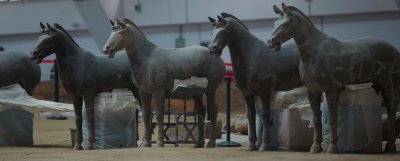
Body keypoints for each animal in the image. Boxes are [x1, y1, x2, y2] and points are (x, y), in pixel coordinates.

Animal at [29, 22, 140, 150]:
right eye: (39, 37)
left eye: (51, 38)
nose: (33, 54)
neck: (77, 63)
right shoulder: (75, 96)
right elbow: (78, 118)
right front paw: (77, 145)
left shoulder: (88, 93)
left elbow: (89, 116)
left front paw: (88, 145)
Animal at [102, 18, 225, 148]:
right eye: (112, 32)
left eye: (120, 32)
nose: (106, 49)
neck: (147, 58)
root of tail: (216, 55)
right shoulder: (143, 91)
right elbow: (146, 114)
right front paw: (146, 143)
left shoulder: (159, 90)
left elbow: (159, 114)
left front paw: (160, 142)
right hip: (197, 93)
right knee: (201, 111)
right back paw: (199, 144)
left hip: (211, 90)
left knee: (213, 111)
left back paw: (211, 142)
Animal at [208, 12, 302, 151]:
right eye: (212, 32)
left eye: (223, 31)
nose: (212, 49)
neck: (252, 54)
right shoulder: (247, 94)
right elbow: (250, 115)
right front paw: (251, 146)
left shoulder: (265, 92)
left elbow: (265, 115)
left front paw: (264, 146)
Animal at [268, 3, 398, 153]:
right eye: (274, 23)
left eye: (286, 23)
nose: (271, 42)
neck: (313, 53)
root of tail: (395, 50)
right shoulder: (313, 91)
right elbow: (316, 117)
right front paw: (315, 148)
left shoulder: (332, 89)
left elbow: (332, 117)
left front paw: (332, 149)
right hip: (377, 84)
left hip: (388, 84)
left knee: (391, 109)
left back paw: (390, 146)